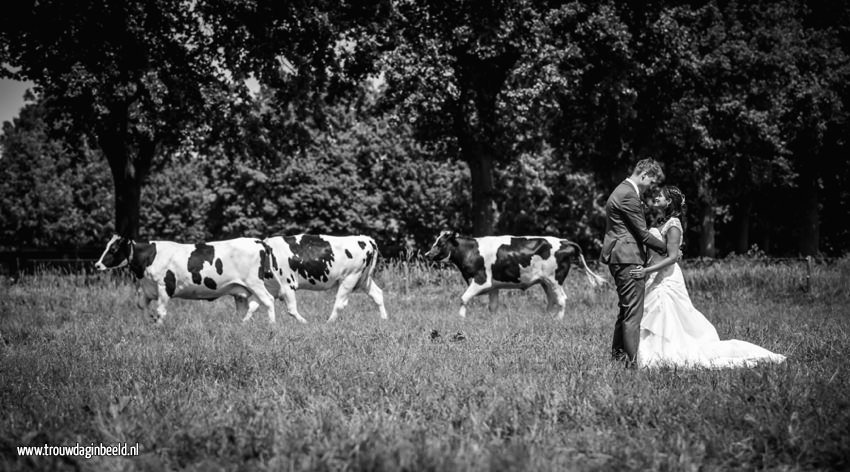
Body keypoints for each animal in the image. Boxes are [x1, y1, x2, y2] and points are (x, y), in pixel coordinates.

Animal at [91, 236, 292, 324]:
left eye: (113, 249)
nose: (97, 265)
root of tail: (257, 241)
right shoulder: (148, 288)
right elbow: (142, 305)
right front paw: (150, 320)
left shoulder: (164, 287)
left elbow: (161, 311)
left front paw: (158, 326)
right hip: (241, 290)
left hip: (255, 283)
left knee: (269, 300)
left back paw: (272, 327)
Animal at [424, 230, 604, 318]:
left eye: (440, 243)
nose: (427, 254)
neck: (471, 250)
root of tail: (564, 241)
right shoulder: (493, 286)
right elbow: (493, 307)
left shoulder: (481, 280)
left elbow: (463, 298)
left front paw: (461, 319)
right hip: (545, 282)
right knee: (551, 300)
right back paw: (546, 318)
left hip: (554, 279)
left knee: (561, 299)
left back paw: (558, 320)